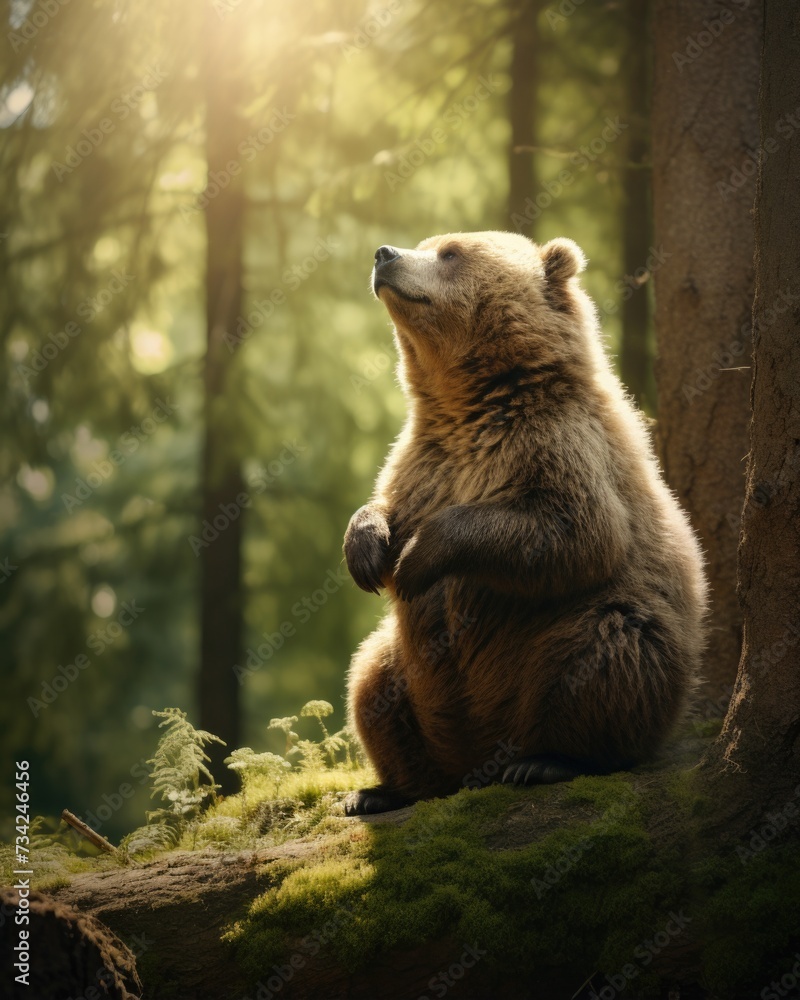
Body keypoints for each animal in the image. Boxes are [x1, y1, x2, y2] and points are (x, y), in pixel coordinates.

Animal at [343, 231, 707, 816]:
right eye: (426, 242)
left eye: (450, 252)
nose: (384, 254)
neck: (471, 401)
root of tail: (477, 758)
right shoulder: (424, 460)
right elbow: (384, 503)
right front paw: (367, 549)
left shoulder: (557, 446)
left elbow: (571, 532)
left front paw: (416, 558)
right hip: (405, 665)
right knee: (371, 683)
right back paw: (380, 791)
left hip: (601, 631)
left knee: (607, 654)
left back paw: (546, 761)